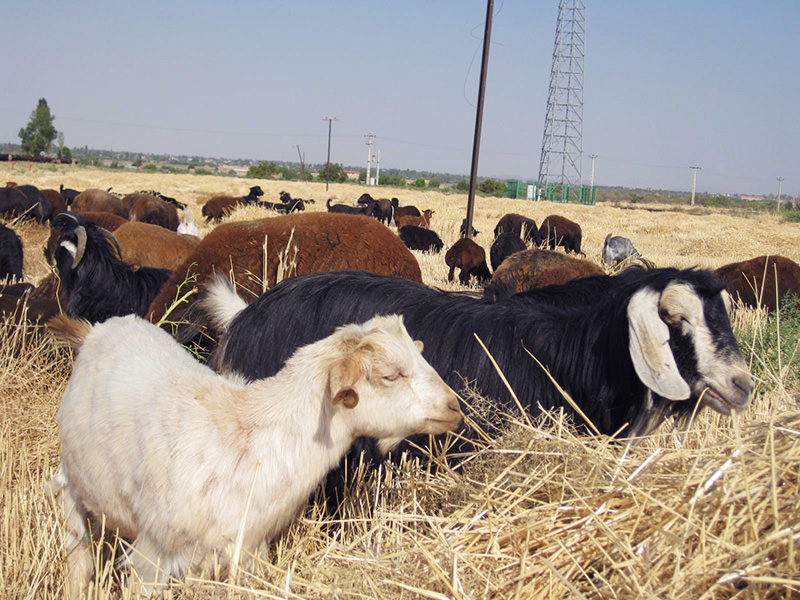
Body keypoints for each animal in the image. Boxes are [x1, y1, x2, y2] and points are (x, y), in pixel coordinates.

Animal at [48, 310, 462, 596]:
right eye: (391, 374)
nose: (454, 406)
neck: (250, 439)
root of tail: (101, 328)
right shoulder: (152, 558)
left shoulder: (248, 554)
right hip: (73, 478)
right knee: (71, 526)